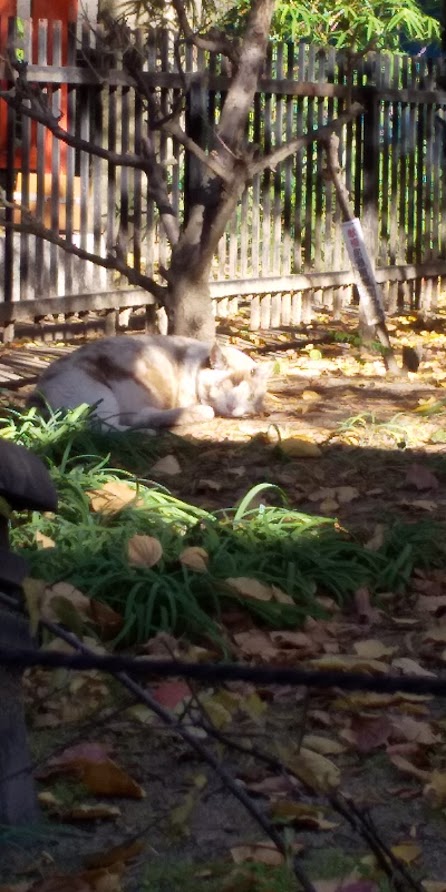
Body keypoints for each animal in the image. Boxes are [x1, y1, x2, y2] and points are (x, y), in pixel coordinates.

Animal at [28, 334, 272, 432]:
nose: (233, 407)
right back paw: (146, 431)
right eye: (227, 384)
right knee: (104, 428)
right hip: (99, 396)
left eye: (251, 397)